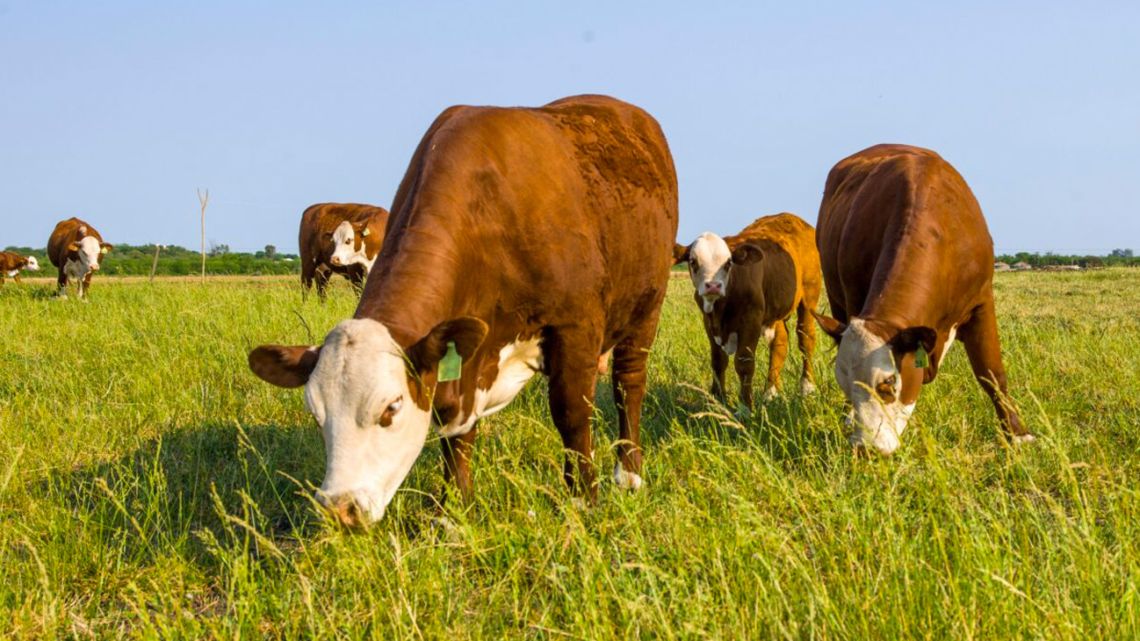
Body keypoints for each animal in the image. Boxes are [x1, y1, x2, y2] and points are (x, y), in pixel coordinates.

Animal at [249, 93, 674, 524]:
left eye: (391, 408)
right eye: (316, 415)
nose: (340, 508)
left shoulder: (576, 326)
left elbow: (571, 412)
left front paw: (583, 499)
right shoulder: (463, 352)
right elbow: (456, 430)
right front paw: (453, 511)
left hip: (647, 307)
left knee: (627, 386)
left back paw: (629, 473)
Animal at [670, 212, 825, 406]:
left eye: (728, 263)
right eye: (693, 261)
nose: (713, 286)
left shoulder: (751, 320)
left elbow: (744, 363)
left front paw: (745, 406)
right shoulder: (708, 321)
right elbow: (718, 361)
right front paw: (718, 400)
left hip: (810, 294)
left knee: (806, 338)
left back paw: (807, 388)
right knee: (780, 343)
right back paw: (770, 393)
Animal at [811, 144, 1035, 453]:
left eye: (888, 382)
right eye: (844, 383)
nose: (864, 449)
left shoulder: (982, 303)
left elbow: (991, 374)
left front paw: (1017, 435)